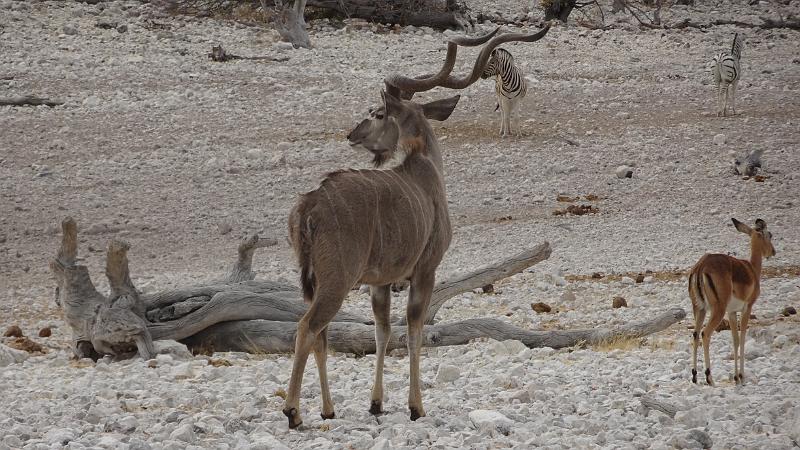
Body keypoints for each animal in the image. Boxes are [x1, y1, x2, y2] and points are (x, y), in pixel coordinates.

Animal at [282, 25, 552, 428]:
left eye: (377, 113)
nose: (352, 134)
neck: (424, 169)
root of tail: (309, 205)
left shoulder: (380, 283)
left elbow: (382, 331)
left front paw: (376, 403)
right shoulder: (425, 270)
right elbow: (413, 331)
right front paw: (415, 406)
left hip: (317, 283)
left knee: (322, 333)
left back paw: (328, 409)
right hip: (337, 280)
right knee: (307, 327)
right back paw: (293, 411)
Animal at [688, 218, 776, 386]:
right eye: (769, 234)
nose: (773, 252)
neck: (752, 270)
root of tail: (701, 266)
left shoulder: (732, 312)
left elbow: (735, 339)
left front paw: (736, 377)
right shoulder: (747, 308)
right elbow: (742, 338)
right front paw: (741, 376)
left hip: (699, 308)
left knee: (695, 334)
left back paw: (695, 376)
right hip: (717, 310)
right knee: (705, 333)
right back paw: (709, 378)